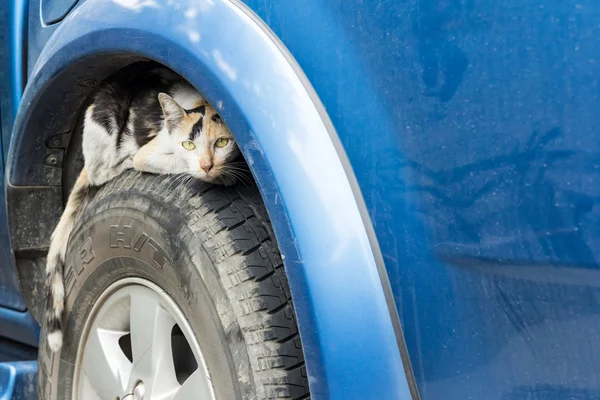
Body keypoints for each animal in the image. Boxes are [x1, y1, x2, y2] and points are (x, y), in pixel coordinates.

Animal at [44, 66, 241, 354]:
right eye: (189, 145)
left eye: (222, 143)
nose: (207, 165)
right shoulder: (150, 154)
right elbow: (177, 164)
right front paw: (221, 177)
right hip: (106, 113)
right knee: (100, 172)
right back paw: (121, 162)